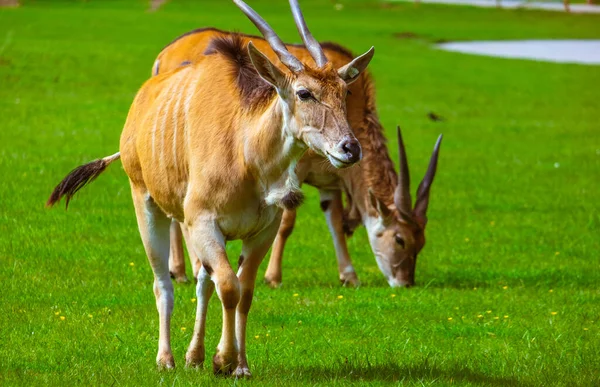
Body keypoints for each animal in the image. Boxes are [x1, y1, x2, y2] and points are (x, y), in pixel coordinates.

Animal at [48, 0, 376, 378]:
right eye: (304, 93)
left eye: (345, 92)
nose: (350, 148)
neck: (245, 151)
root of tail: (142, 99)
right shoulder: (204, 222)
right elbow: (229, 288)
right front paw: (224, 359)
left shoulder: (261, 231)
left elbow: (244, 291)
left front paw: (240, 365)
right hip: (145, 201)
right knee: (164, 284)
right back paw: (167, 358)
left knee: (204, 282)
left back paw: (194, 355)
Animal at [152, 29, 442, 288]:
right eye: (400, 239)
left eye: (422, 243)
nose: (405, 282)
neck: (355, 107)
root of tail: (165, 54)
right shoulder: (294, 173)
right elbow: (287, 223)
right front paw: (273, 277)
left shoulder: (330, 181)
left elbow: (335, 221)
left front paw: (349, 276)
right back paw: (185, 270)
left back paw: (179, 270)